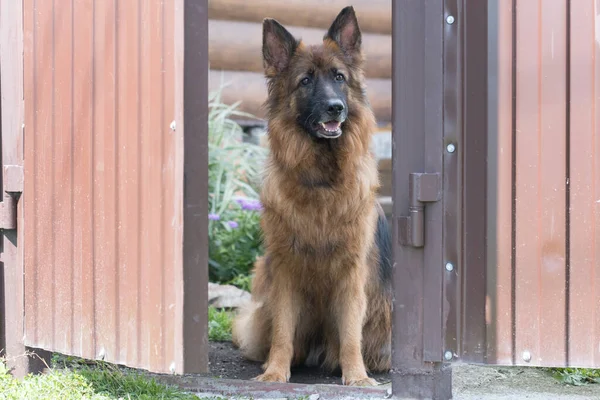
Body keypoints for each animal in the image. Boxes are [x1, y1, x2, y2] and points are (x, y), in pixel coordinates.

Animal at [231, 7, 394, 388]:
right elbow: (283, 331)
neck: (321, 181)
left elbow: (350, 333)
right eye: (305, 81)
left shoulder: (352, 273)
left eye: (339, 77)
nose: (335, 108)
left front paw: (357, 377)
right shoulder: (285, 269)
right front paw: (275, 372)